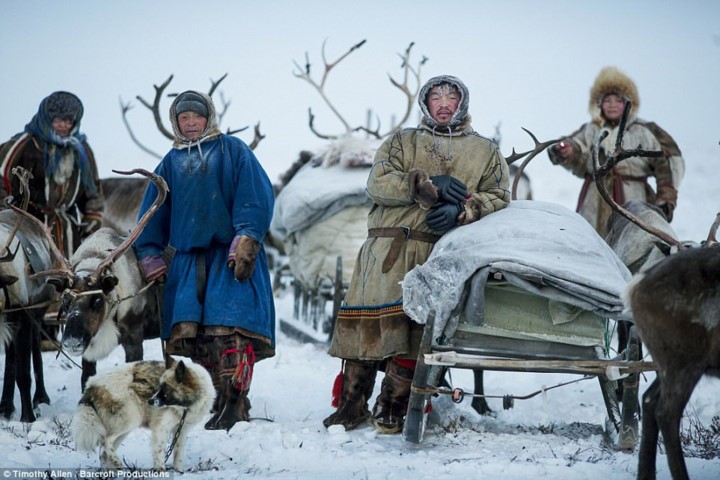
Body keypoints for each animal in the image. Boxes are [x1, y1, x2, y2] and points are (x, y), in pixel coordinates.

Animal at [71, 358, 215, 470]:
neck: (186, 406)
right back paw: (118, 464)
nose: (150, 401)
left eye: (165, 389)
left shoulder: (181, 430)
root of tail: (92, 384)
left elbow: (178, 456)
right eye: (159, 386)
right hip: (130, 421)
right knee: (105, 441)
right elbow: (160, 455)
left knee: (104, 453)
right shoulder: (161, 429)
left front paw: (179, 472)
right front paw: (161, 472)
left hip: (123, 429)